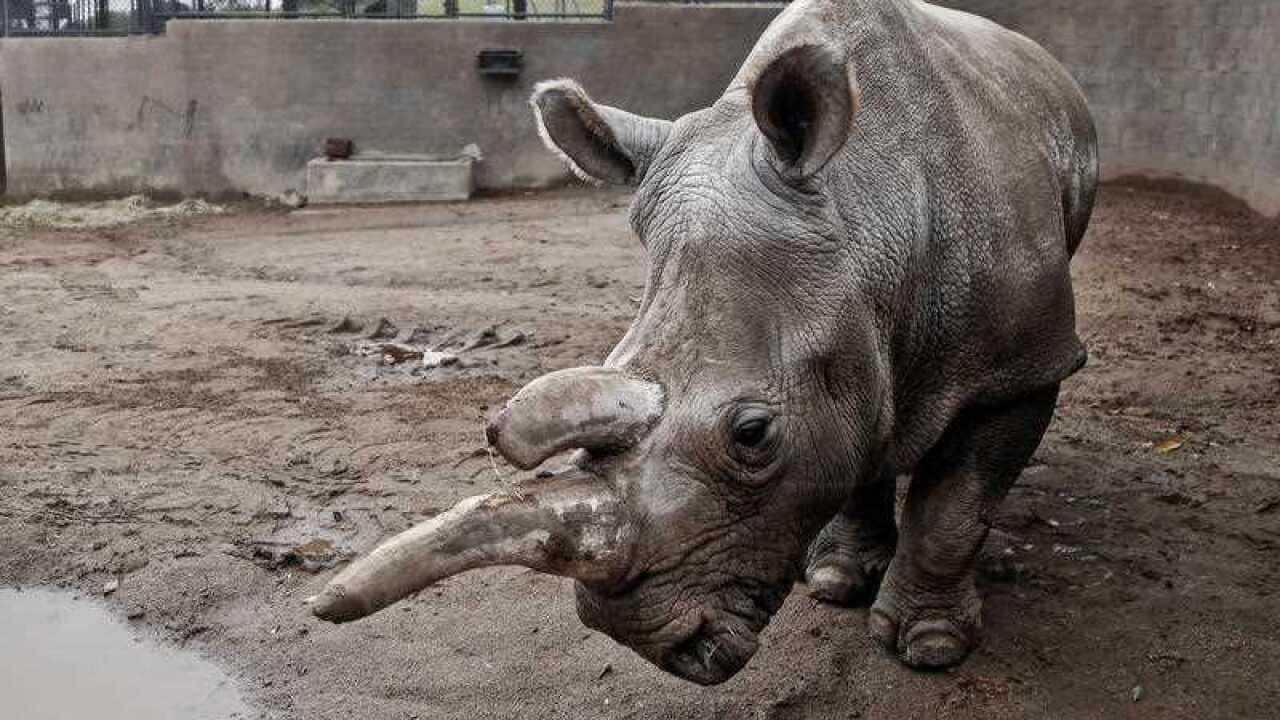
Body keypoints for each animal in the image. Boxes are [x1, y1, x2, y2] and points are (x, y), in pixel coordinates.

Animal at [311, 0, 1098, 685]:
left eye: (752, 434)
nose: (653, 645)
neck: (868, 213)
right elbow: (858, 438)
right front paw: (835, 580)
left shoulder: (1025, 366)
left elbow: (953, 509)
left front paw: (930, 648)